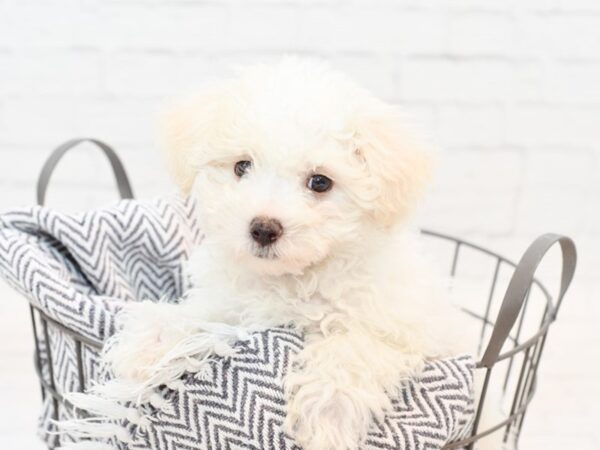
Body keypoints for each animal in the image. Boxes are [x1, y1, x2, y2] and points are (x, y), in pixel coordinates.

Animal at [105, 59, 466, 450]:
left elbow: (355, 348)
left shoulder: (404, 330)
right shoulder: (232, 305)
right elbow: (202, 317)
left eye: (320, 182)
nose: (263, 228)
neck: (294, 279)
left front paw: (327, 416)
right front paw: (147, 343)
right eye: (242, 166)